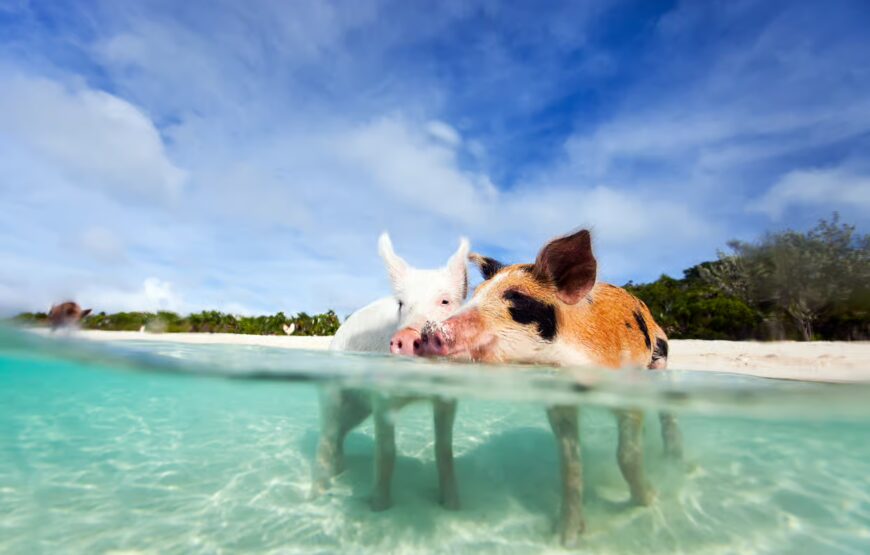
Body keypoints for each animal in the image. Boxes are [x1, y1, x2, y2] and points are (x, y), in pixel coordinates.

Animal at [311, 232, 469, 511]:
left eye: (445, 301)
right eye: (402, 304)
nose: (406, 336)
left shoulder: (447, 398)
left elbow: (443, 450)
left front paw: (453, 506)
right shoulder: (382, 397)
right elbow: (386, 451)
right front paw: (379, 507)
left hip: (359, 408)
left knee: (341, 432)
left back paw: (340, 471)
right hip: (333, 390)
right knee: (326, 436)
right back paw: (315, 496)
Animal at [415, 229, 683, 546]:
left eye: (517, 298)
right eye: (476, 294)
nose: (427, 332)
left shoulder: (627, 389)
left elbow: (626, 455)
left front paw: (648, 501)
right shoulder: (560, 403)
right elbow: (570, 465)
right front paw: (566, 538)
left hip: (660, 358)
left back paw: (674, 460)